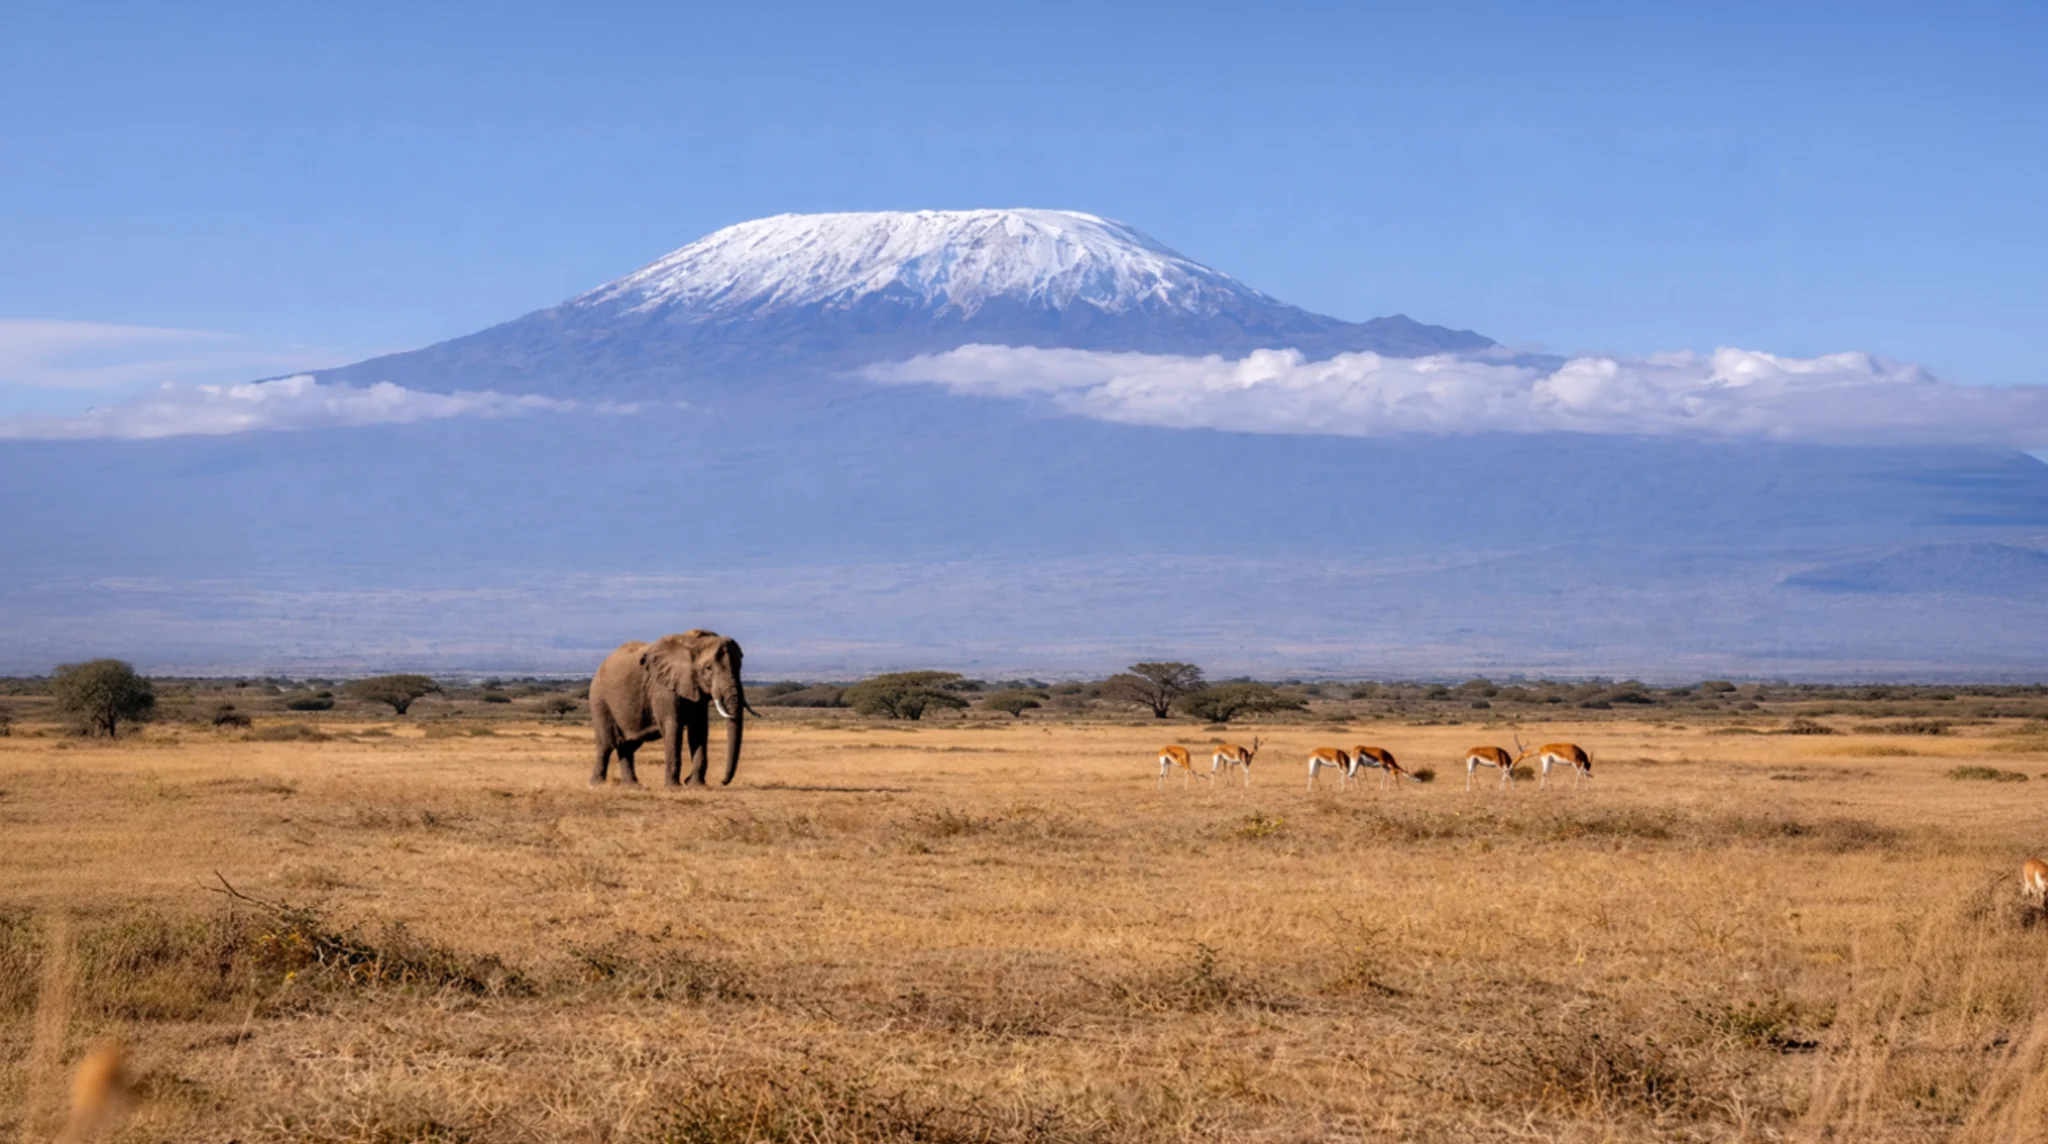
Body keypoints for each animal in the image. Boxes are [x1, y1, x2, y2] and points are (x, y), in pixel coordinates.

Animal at [588, 630, 751, 787]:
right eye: (708, 668)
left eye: (739, 667)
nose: (723, 782)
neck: (692, 642)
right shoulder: (662, 688)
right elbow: (673, 726)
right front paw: (674, 787)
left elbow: (699, 731)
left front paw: (696, 786)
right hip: (599, 700)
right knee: (607, 743)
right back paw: (597, 784)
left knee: (628, 745)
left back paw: (632, 786)